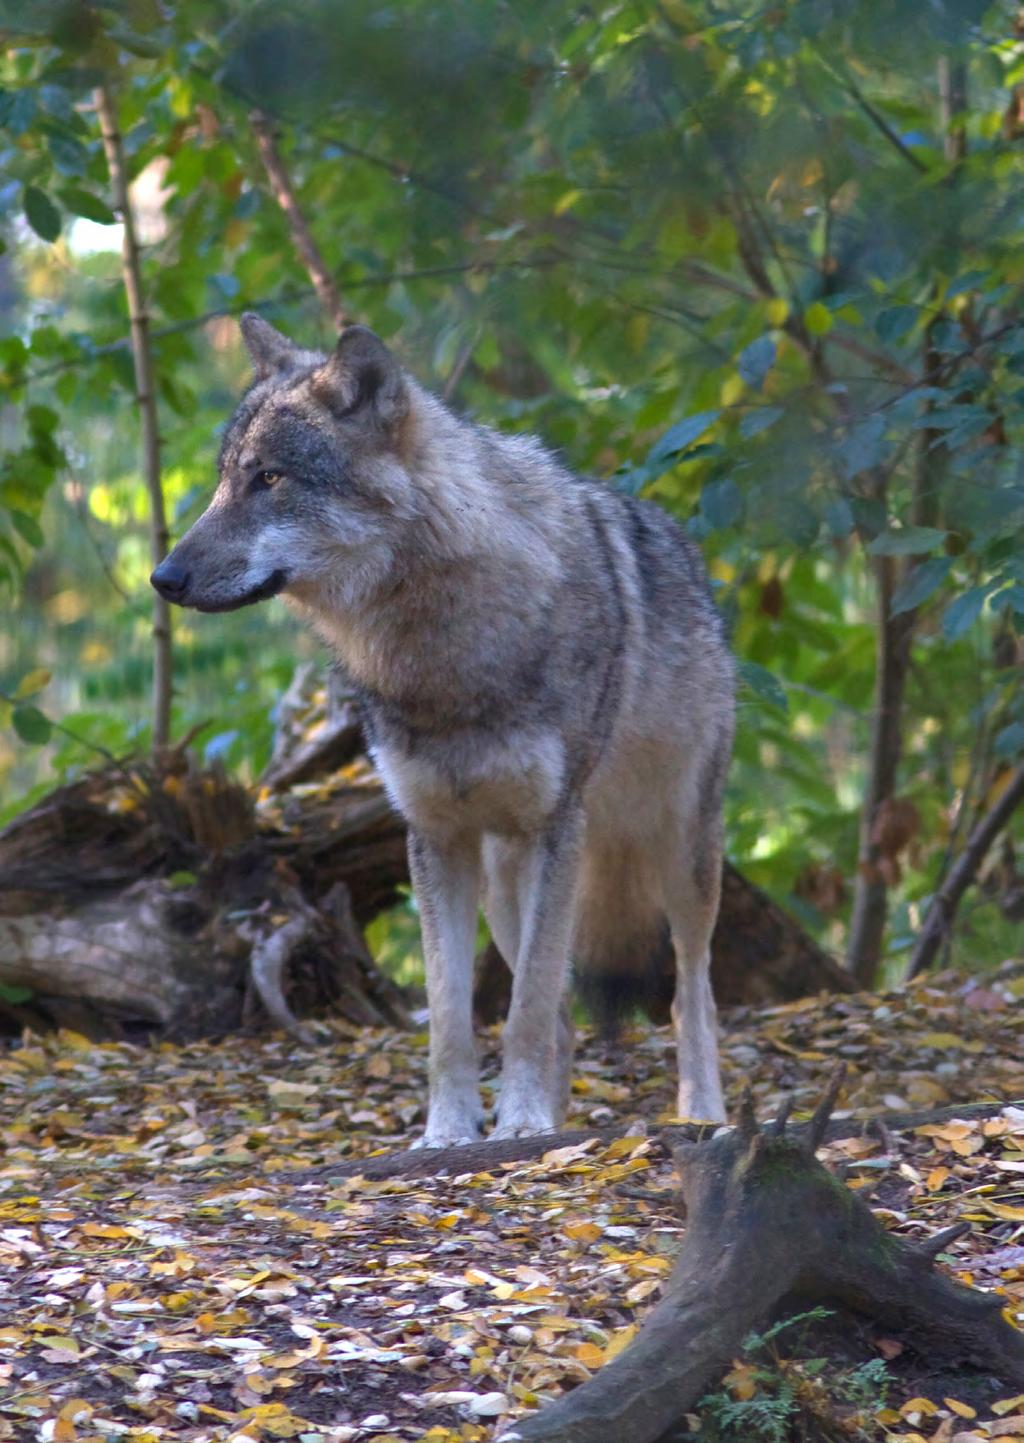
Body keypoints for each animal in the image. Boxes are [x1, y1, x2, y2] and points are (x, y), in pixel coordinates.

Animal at [152, 318, 732, 1148]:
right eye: (226, 479)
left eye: (270, 479)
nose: (162, 577)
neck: (439, 650)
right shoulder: (434, 838)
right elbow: (454, 1020)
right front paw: (453, 1131)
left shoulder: (555, 827)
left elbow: (523, 1013)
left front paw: (518, 1124)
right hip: (505, 883)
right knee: (558, 1005)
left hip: (676, 853)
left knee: (688, 989)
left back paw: (700, 1112)